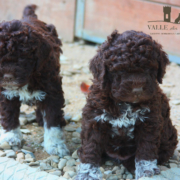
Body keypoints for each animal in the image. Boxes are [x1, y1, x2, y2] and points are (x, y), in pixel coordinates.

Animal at [0, 3, 69, 156]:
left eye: (22, 56)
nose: (7, 76)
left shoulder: (51, 90)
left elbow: (52, 119)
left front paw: (55, 145)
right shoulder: (5, 93)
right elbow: (9, 114)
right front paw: (11, 136)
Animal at [75, 30, 178, 179]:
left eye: (149, 69)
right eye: (121, 70)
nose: (137, 89)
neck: (125, 104)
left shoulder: (150, 121)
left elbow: (147, 147)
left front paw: (146, 169)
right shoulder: (94, 119)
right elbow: (91, 147)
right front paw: (88, 172)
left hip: (170, 137)